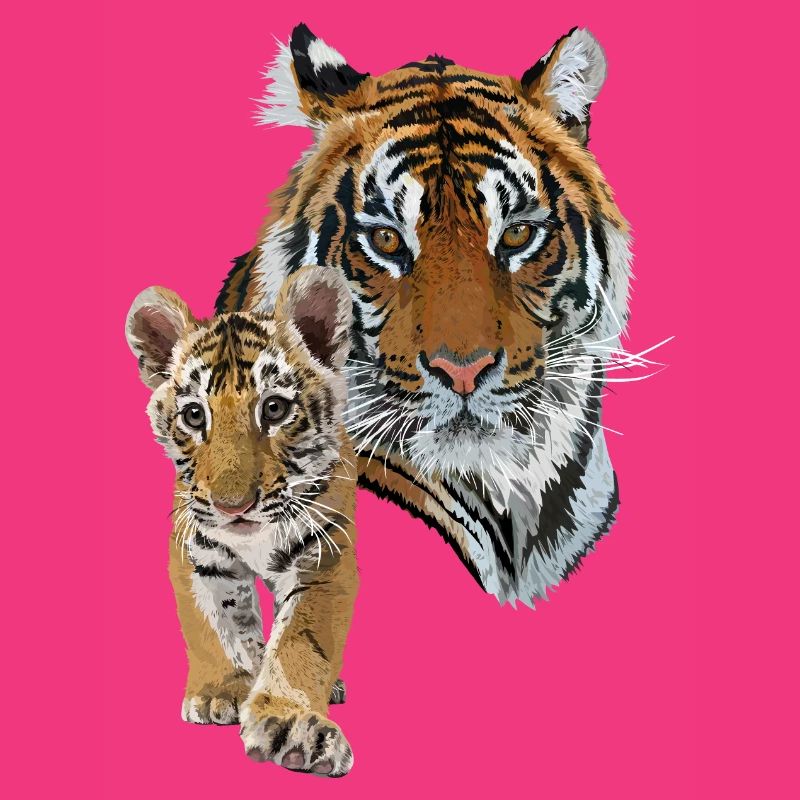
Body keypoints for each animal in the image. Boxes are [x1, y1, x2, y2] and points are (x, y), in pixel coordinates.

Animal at [126, 265, 358, 776]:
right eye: (195, 415)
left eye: (274, 408)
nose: (233, 506)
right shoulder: (198, 552)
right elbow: (216, 625)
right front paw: (221, 692)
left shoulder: (323, 556)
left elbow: (299, 642)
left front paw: (293, 724)